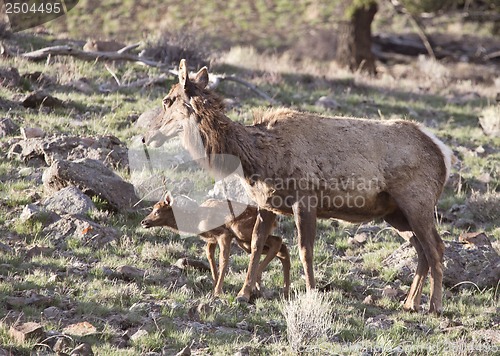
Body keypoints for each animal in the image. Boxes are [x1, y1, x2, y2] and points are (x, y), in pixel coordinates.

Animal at [139, 193, 292, 296]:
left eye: (158, 211)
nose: (144, 221)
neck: (196, 222)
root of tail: (276, 221)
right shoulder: (211, 239)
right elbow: (210, 256)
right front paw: (215, 282)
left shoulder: (224, 234)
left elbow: (223, 260)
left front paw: (218, 290)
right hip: (243, 241)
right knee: (281, 247)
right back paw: (283, 290)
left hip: (242, 232)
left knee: (277, 242)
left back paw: (257, 283)